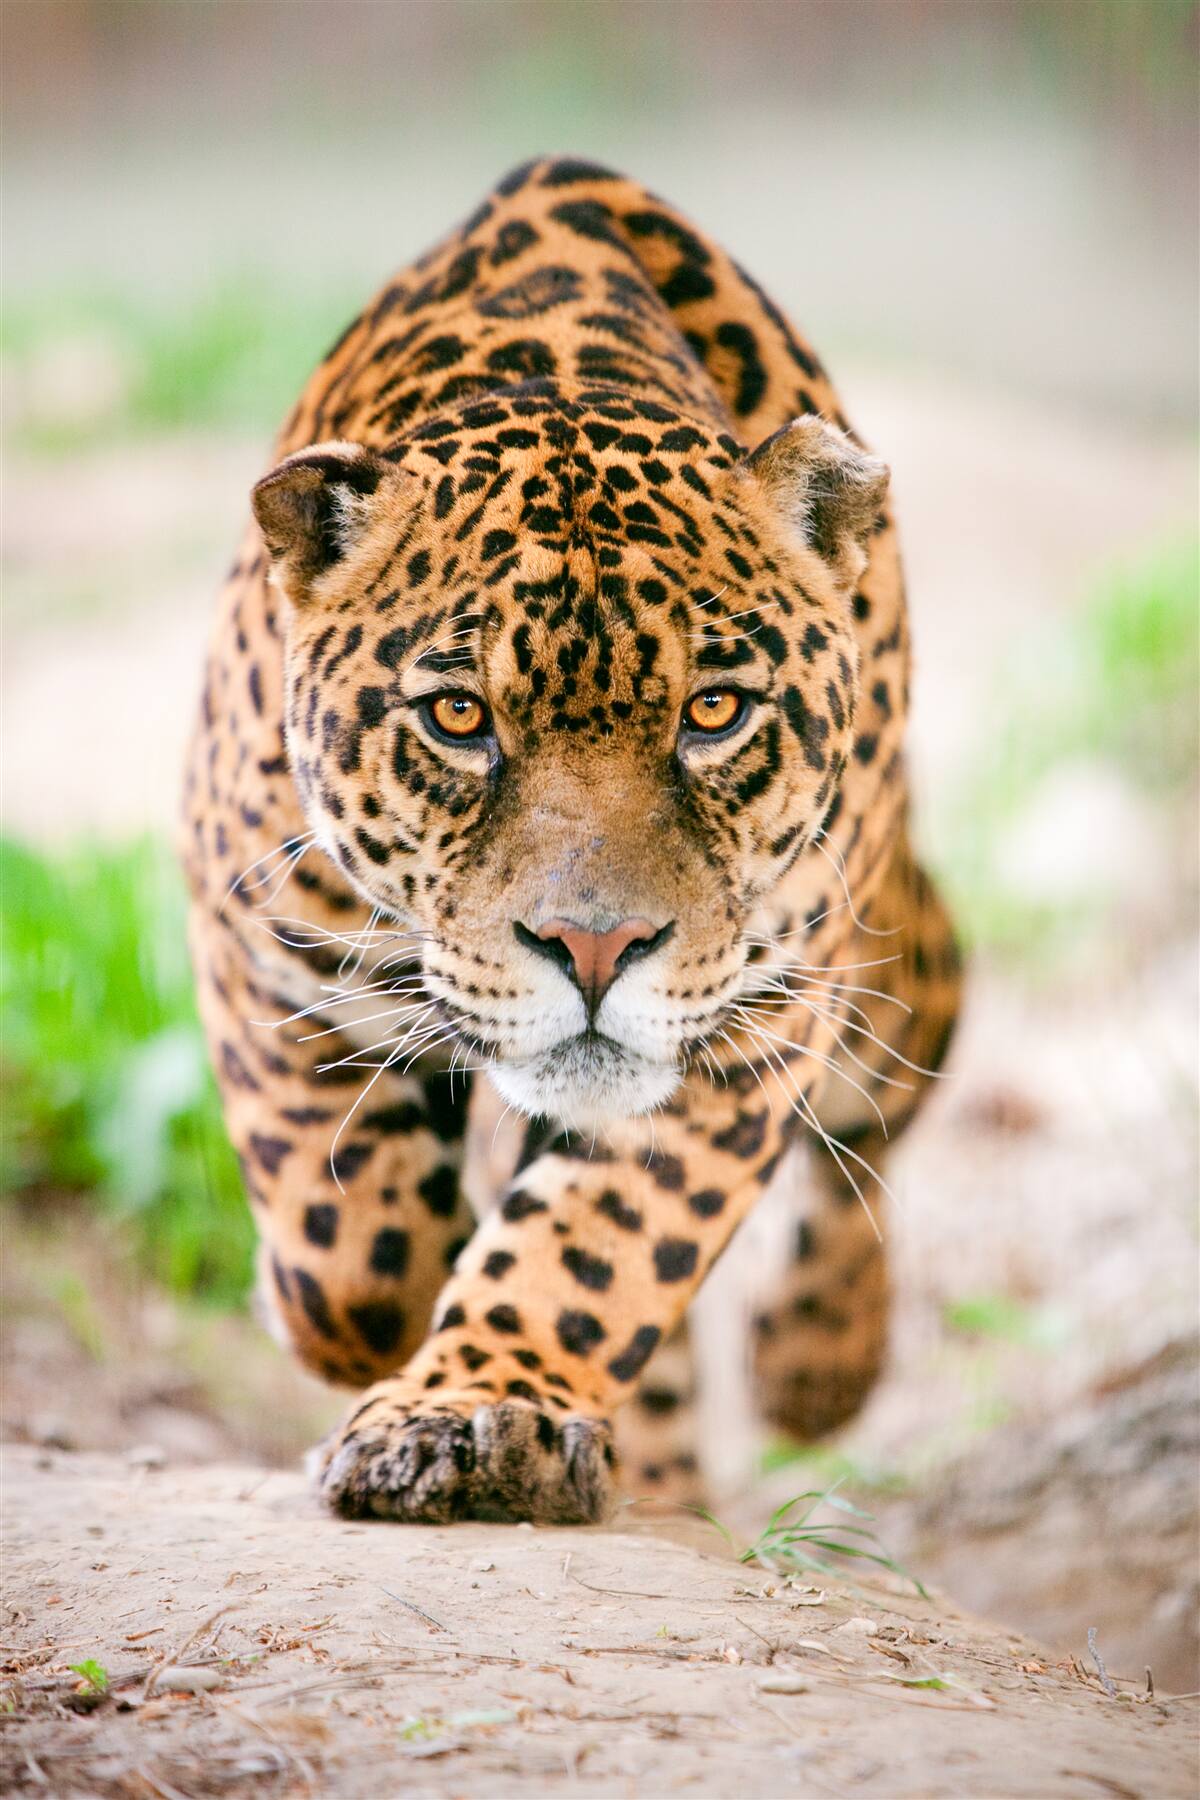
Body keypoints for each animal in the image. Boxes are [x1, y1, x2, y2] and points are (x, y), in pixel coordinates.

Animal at [181, 156, 962, 1526]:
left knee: (893, 1077)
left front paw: (473, 1411)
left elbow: (599, 1245)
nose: (595, 951)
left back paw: (816, 1365)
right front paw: (366, 1323)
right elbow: (348, 1249)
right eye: (459, 717)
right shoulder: (255, 937)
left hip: (878, 962)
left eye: (715, 712)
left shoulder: (751, 1026)